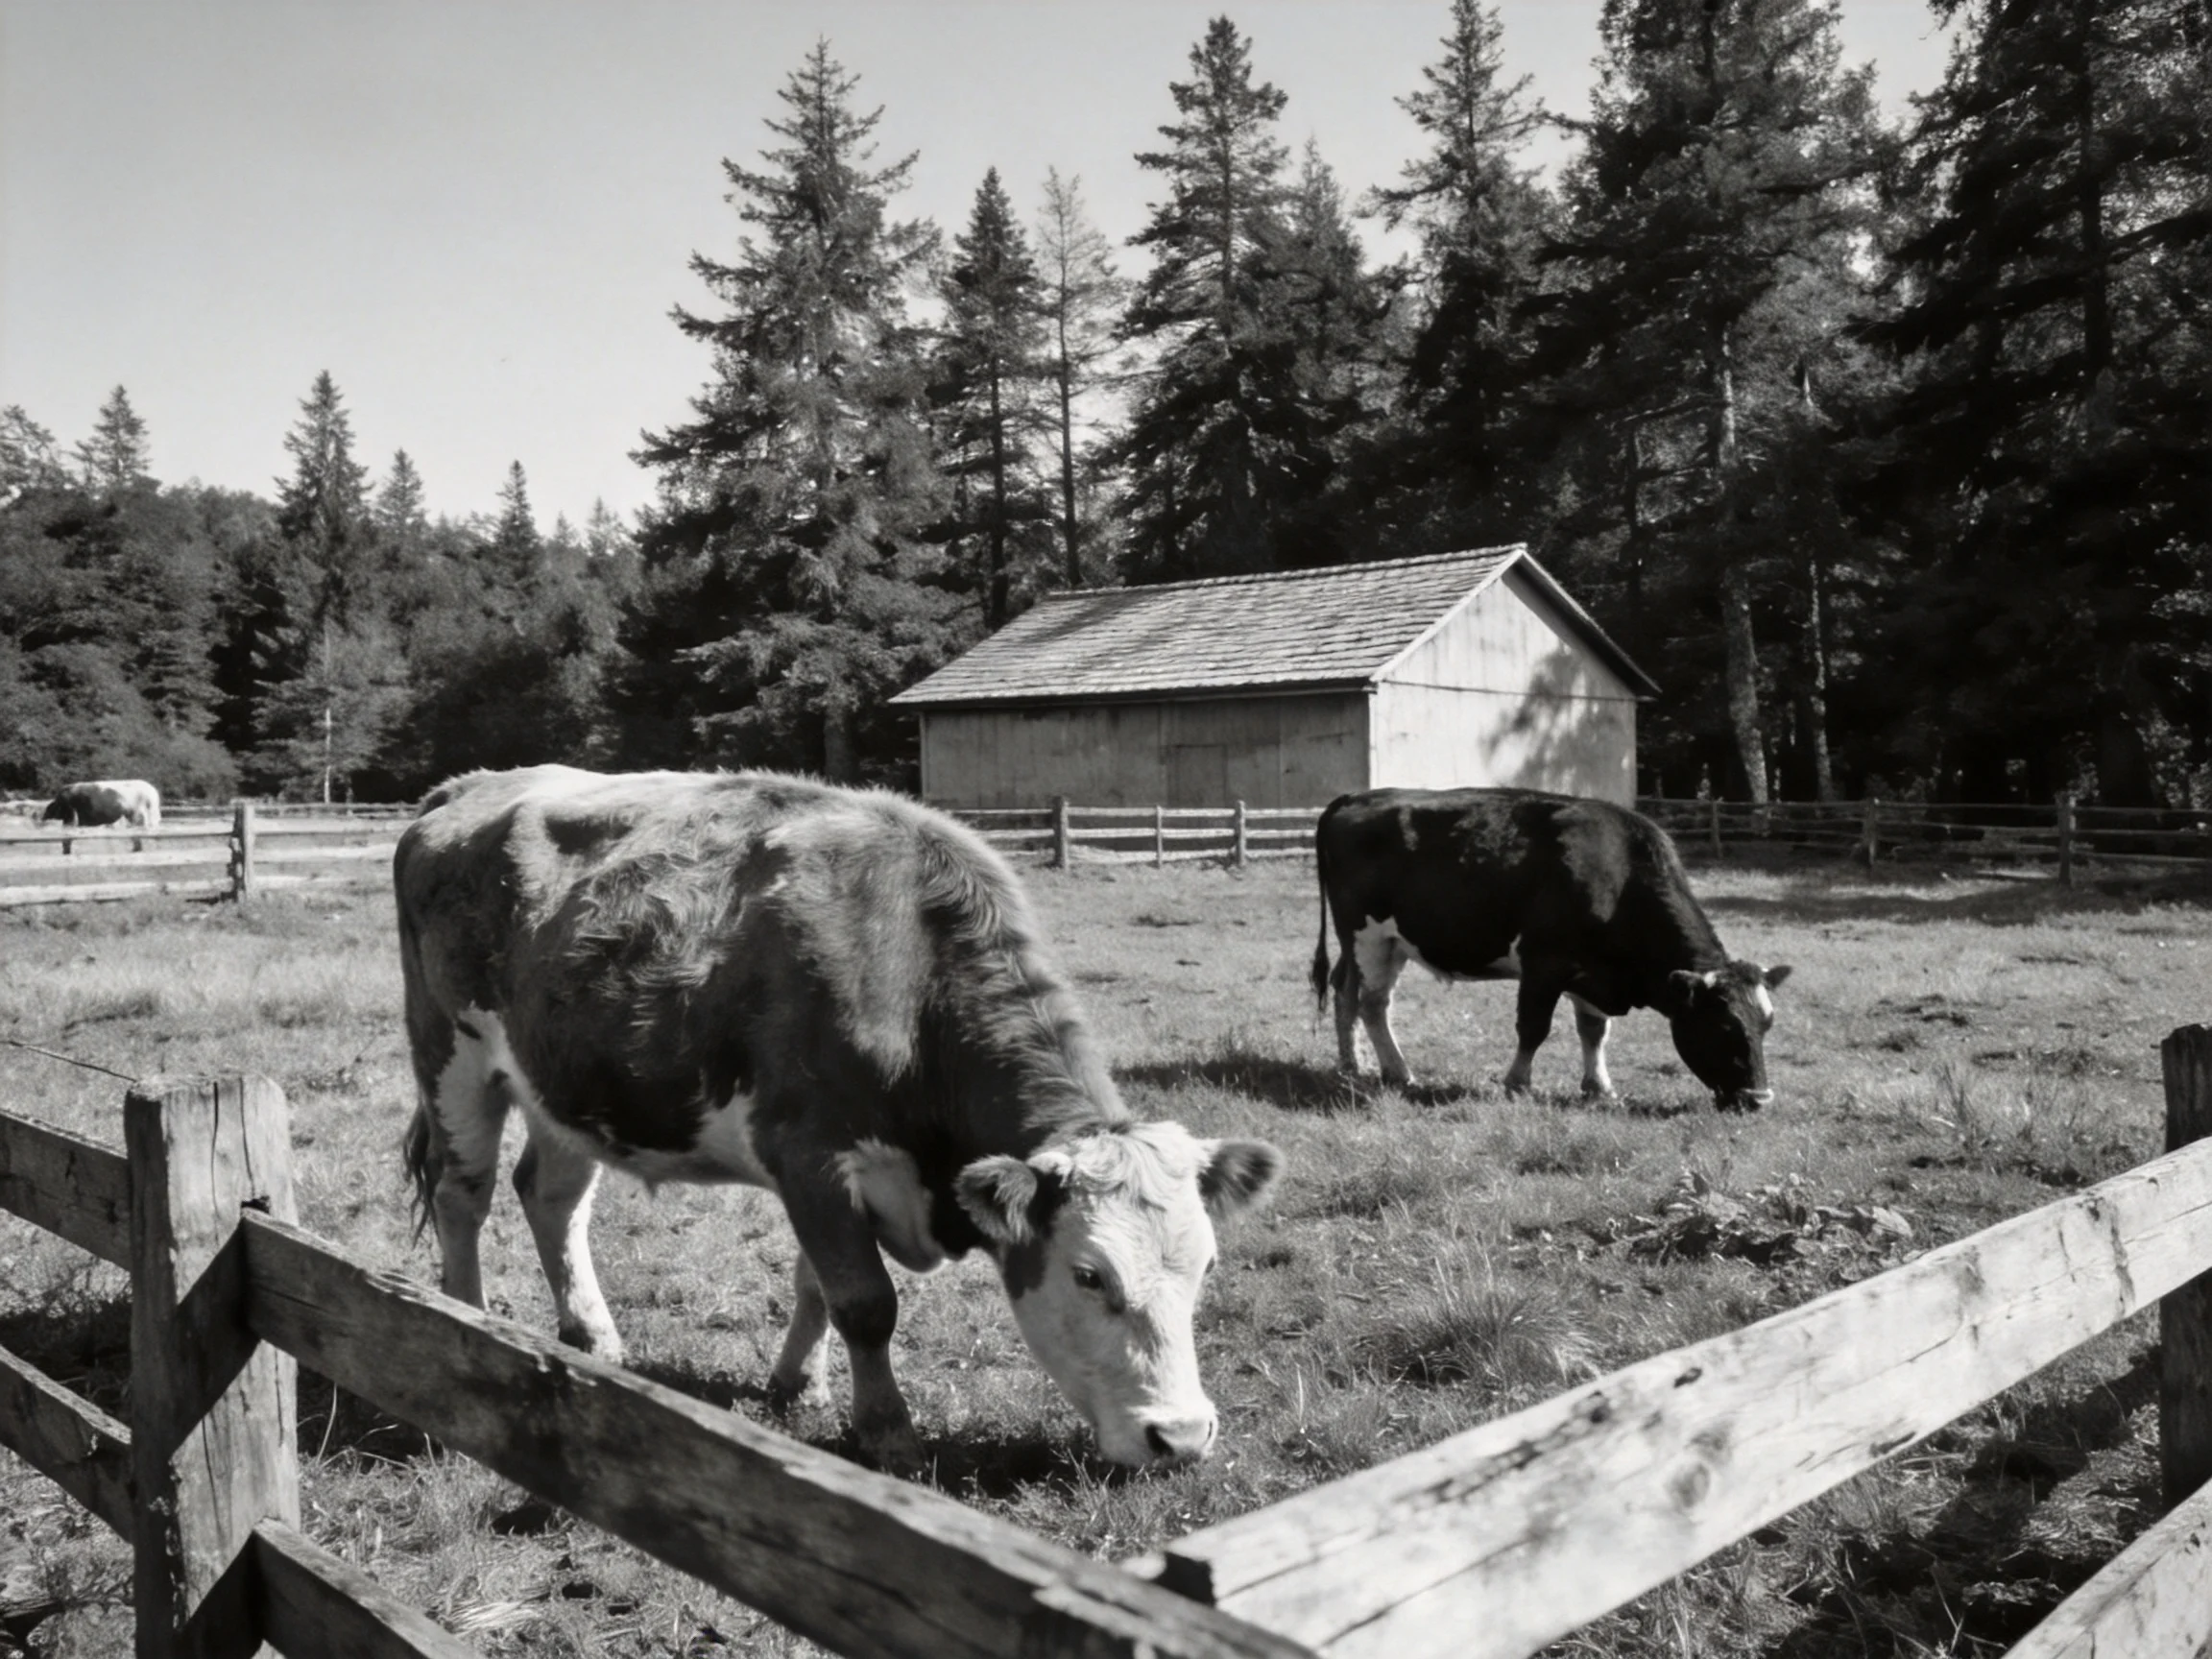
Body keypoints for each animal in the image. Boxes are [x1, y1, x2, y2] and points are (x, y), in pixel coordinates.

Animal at [395, 766, 1281, 1473]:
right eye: (1090, 1275)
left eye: (1206, 1267)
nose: (1182, 1438)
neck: (907, 975)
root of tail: (467, 788)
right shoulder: (811, 1153)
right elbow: (863, 1301)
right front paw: (887, 1432)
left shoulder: (822, 1175)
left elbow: (814, 1284)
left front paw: (798, 1385)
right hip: (451, 1055)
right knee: (463, 1192)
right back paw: (462, 1326)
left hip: (566, 1086)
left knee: (550, 1196)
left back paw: (594, 1339)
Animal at [1312, 788, 1791, 1111]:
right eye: (1723, 1026)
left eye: (1766, 1024)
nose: (1760, 1099)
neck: (1618, 879)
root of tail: (1358, 796)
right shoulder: (1544, 964)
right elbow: (1533, 1028)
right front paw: (1517, 1083)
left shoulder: (1593, 973)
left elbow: (1594, 1032)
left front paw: (1599, 1087)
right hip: (1368, 936)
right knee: (1372, 1003)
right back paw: (1398, 1072)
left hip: (1381, 943)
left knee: (1344, 991)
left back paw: (1352, 1065)